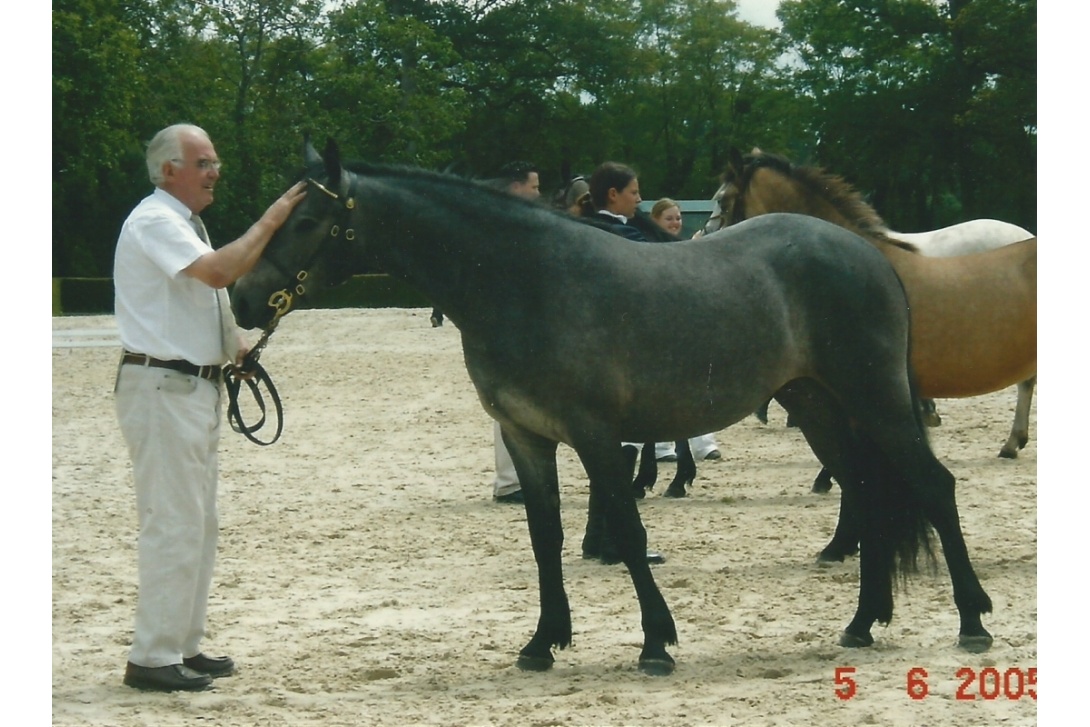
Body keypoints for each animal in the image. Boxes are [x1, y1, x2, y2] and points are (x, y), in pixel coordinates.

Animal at [232, 137, 998, 675]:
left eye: (307, 219)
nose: (242, 298)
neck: (526, 280)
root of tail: (869, 256)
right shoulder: (526, 437)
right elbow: (544, 538)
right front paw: (542, 641)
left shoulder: (596, 436)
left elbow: (627, 532)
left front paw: (656, 642)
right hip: (821, 407)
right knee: (867, 492)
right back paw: (863, 622)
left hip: (877, 401)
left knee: (932, 486)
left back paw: (973, 620)